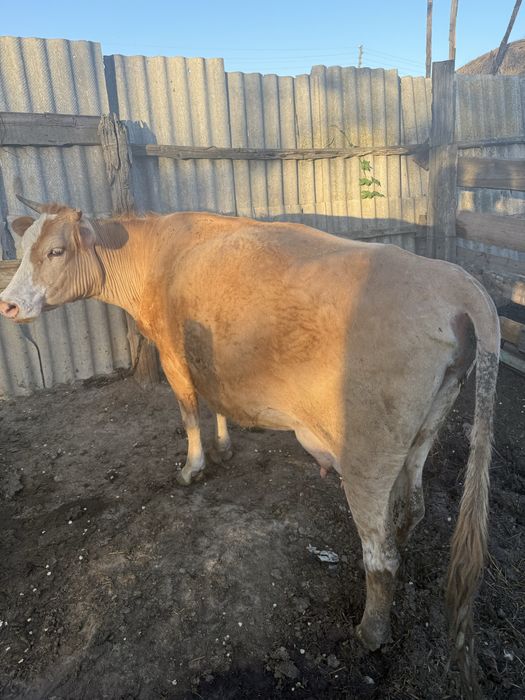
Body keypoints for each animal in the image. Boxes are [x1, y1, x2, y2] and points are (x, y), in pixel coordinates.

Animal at [0, 195, 500, 698]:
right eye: (22, 249)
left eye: (56, 251)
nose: (8, 304)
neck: (156, 255)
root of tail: (453, 279)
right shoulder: (212, 358)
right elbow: (217, 401)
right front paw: (224, 446)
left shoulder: (173, 353)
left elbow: (188, 410)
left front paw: (193, 467)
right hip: (426, 427)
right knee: (413, 507)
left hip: (367, 458)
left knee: (380, 556)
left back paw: (370, 633)